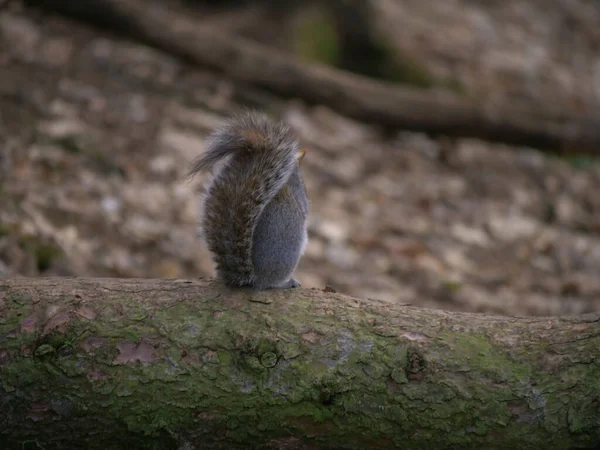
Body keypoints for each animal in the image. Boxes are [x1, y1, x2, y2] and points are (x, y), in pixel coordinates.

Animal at [188, 110, 310, 290]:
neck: (290, 176)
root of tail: (255, 277)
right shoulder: (299, 193)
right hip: (291, 247)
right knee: (269, 283)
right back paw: (286, 283)